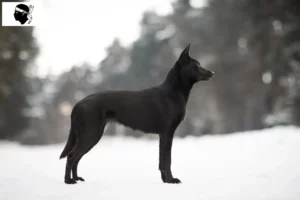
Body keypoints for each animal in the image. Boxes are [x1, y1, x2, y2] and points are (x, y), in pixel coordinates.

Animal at [59, 43, 213, 184]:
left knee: (76, 158)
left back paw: (76, 178)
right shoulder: (168, 133)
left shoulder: (162, 135)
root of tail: (78, 104)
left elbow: (161, 161)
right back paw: (68, 181)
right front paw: (171, 180)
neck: (173, 92)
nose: (212, 73)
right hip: (89, 135)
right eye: (197, 65)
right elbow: (167, 160)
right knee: (71, 156)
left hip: (91, 136)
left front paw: (164, 180)